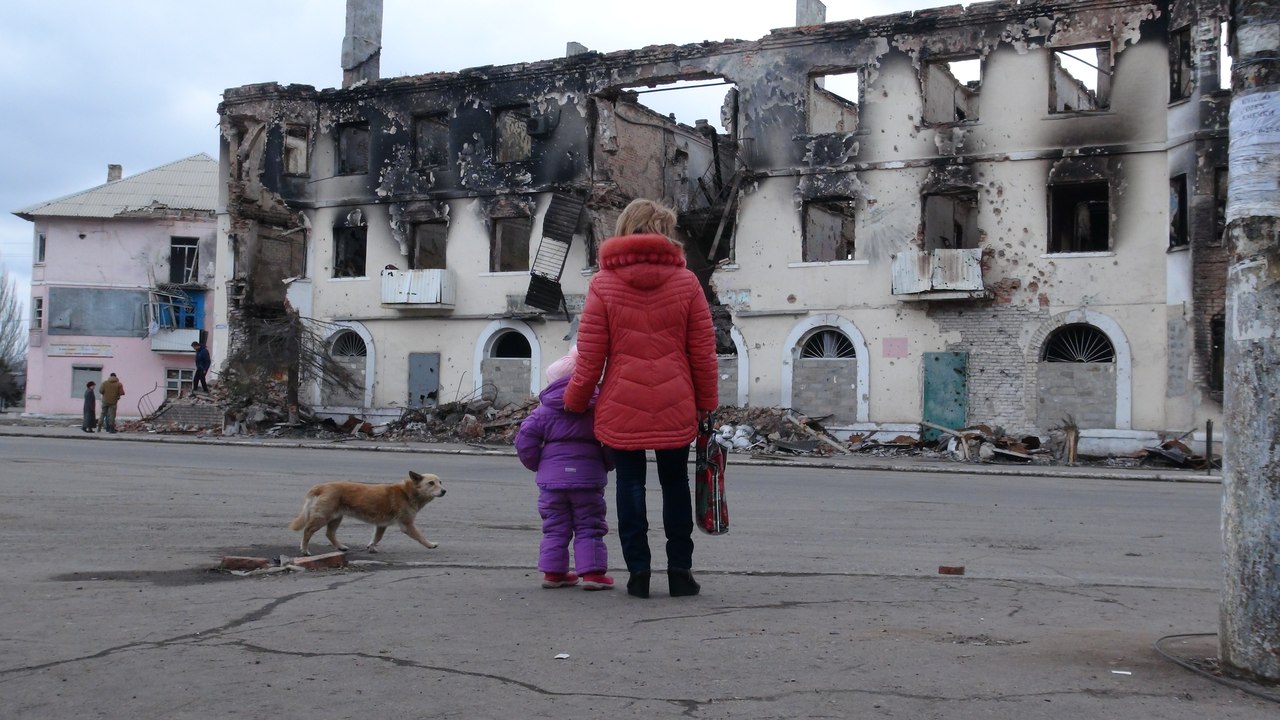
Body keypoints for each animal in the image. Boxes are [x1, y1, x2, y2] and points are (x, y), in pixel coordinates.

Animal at [288, 471, 448, 556]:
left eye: (440, 482)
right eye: (431, 483)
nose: (444, 491)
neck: (408, 492)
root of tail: (321, 486)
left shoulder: (381, 525)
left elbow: (376, 538)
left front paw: (371, 547)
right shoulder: (407, 524)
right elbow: (420, 536)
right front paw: (430, 544)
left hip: (336, 517)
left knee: (330, 534)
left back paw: (340, 547)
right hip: (323, 517)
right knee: (308, 530)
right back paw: (305, 550)